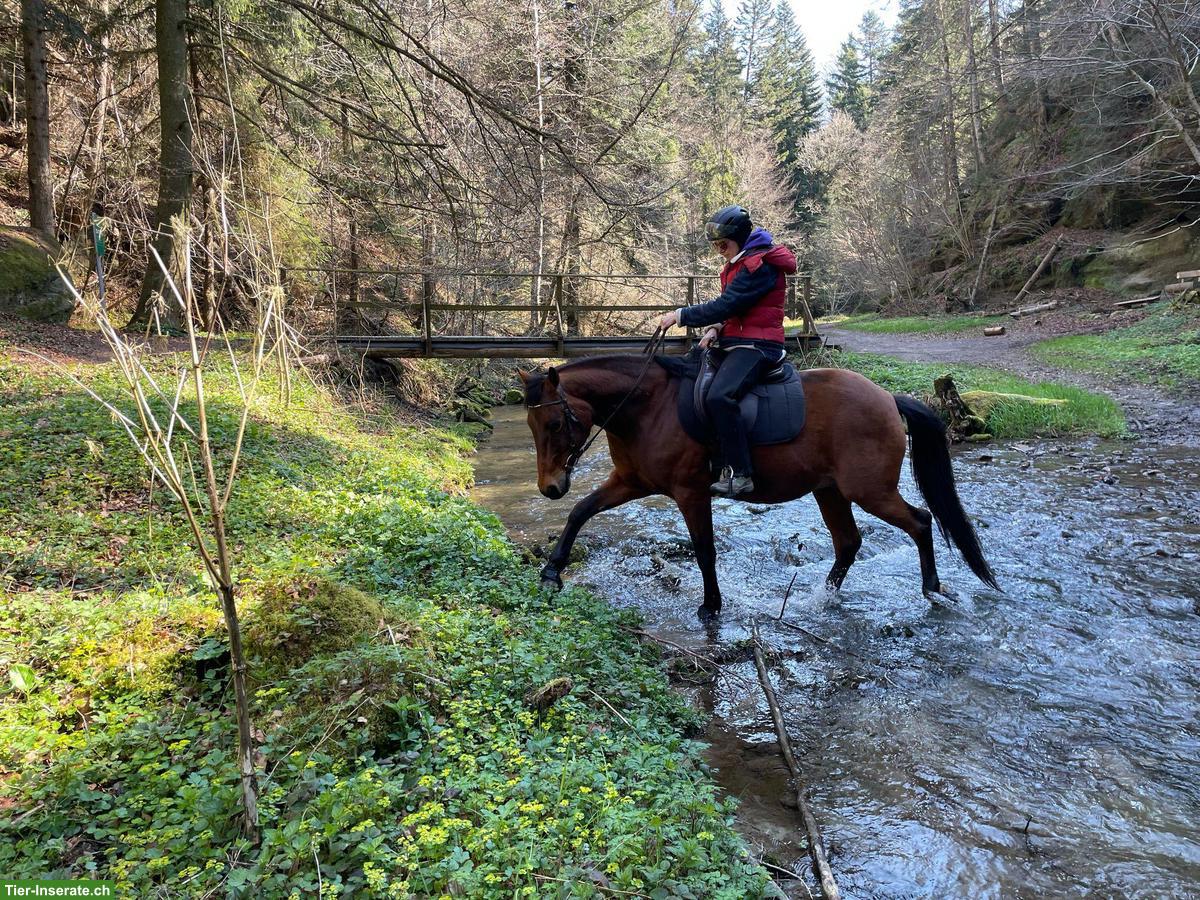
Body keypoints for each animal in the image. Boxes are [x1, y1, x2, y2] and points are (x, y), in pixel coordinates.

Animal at [519, 354, 998, 620]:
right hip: (830, 490)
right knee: (848, 542)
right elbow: (581, 511)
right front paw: (552, 572)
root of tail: (886, 396)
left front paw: (711, 606)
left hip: (870, 491)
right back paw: (821, 599)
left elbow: (704, 550)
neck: (648, 406)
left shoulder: (690, 492)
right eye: (532, 425)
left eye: (556, 423)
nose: (550, 487)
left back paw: (932, 589)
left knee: (920, 522)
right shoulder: (630, 481)